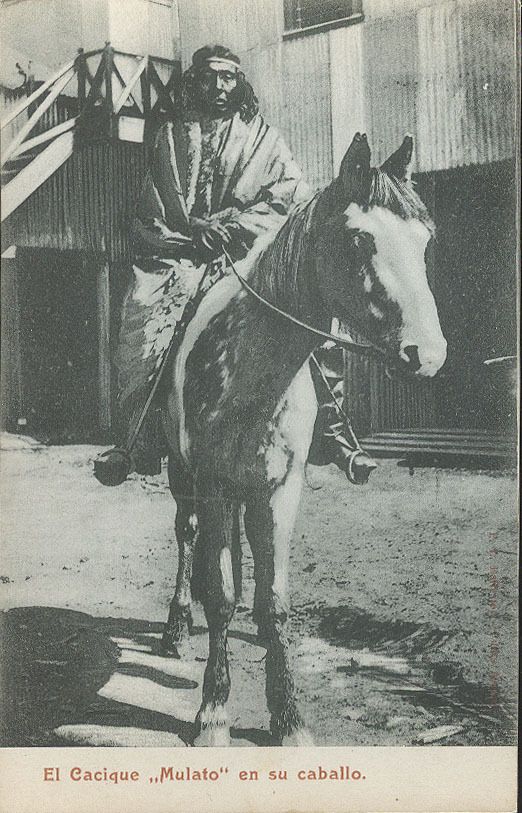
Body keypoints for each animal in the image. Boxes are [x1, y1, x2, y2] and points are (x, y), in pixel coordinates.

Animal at [157, 135, 442, 748]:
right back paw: (176, 625)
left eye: (425, 240)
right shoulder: (214, 483)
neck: (252, 373)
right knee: (188, 539)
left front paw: (288, 718)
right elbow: (219, 594)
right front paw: (213, 711)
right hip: (183, 478)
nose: (427, 357)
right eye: (360, 238)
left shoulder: (281, 488)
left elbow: (275, 602)